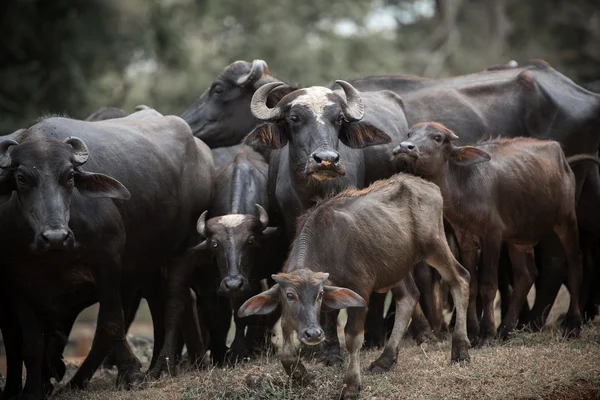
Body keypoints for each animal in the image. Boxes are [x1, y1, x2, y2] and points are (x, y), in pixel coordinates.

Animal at [0, 108, 214, 396]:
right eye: (22, 178)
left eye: (69, 176)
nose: (55, 236)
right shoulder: (17, 282)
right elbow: (31, 343)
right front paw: (33, 389)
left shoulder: (109, 264)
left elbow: (110, 324)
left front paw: (130, 375)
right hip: (148, 261)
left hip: (185, 243)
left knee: (176, 301)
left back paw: (163, 366)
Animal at [238, 175, 468, 400]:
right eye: (289, 295)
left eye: (320, 294)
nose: (314, 334)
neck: (328, 245)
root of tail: (430, 187)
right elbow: (286, 346)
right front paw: (301, 375)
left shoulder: (361, 290)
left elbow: (353, 337)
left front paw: (350, 385)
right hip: (396, 268)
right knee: (409, 297)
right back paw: (385, 360)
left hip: (435, 247)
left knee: (460, 280)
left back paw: (460, 350)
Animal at [394, 122, 596, 344]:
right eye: (410, 133)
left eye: (437, 137)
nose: (405, 147)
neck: (464, 184)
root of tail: (562, 157)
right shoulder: (466, 239)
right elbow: (472, 284)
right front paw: (472, 332)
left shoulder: (493, 236)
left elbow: (488, 284)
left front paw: (486, 334)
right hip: (518, 239)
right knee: (526, 275)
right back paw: (506, 329)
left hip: (565, 221)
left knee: (575, 262)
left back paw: (572, 325)